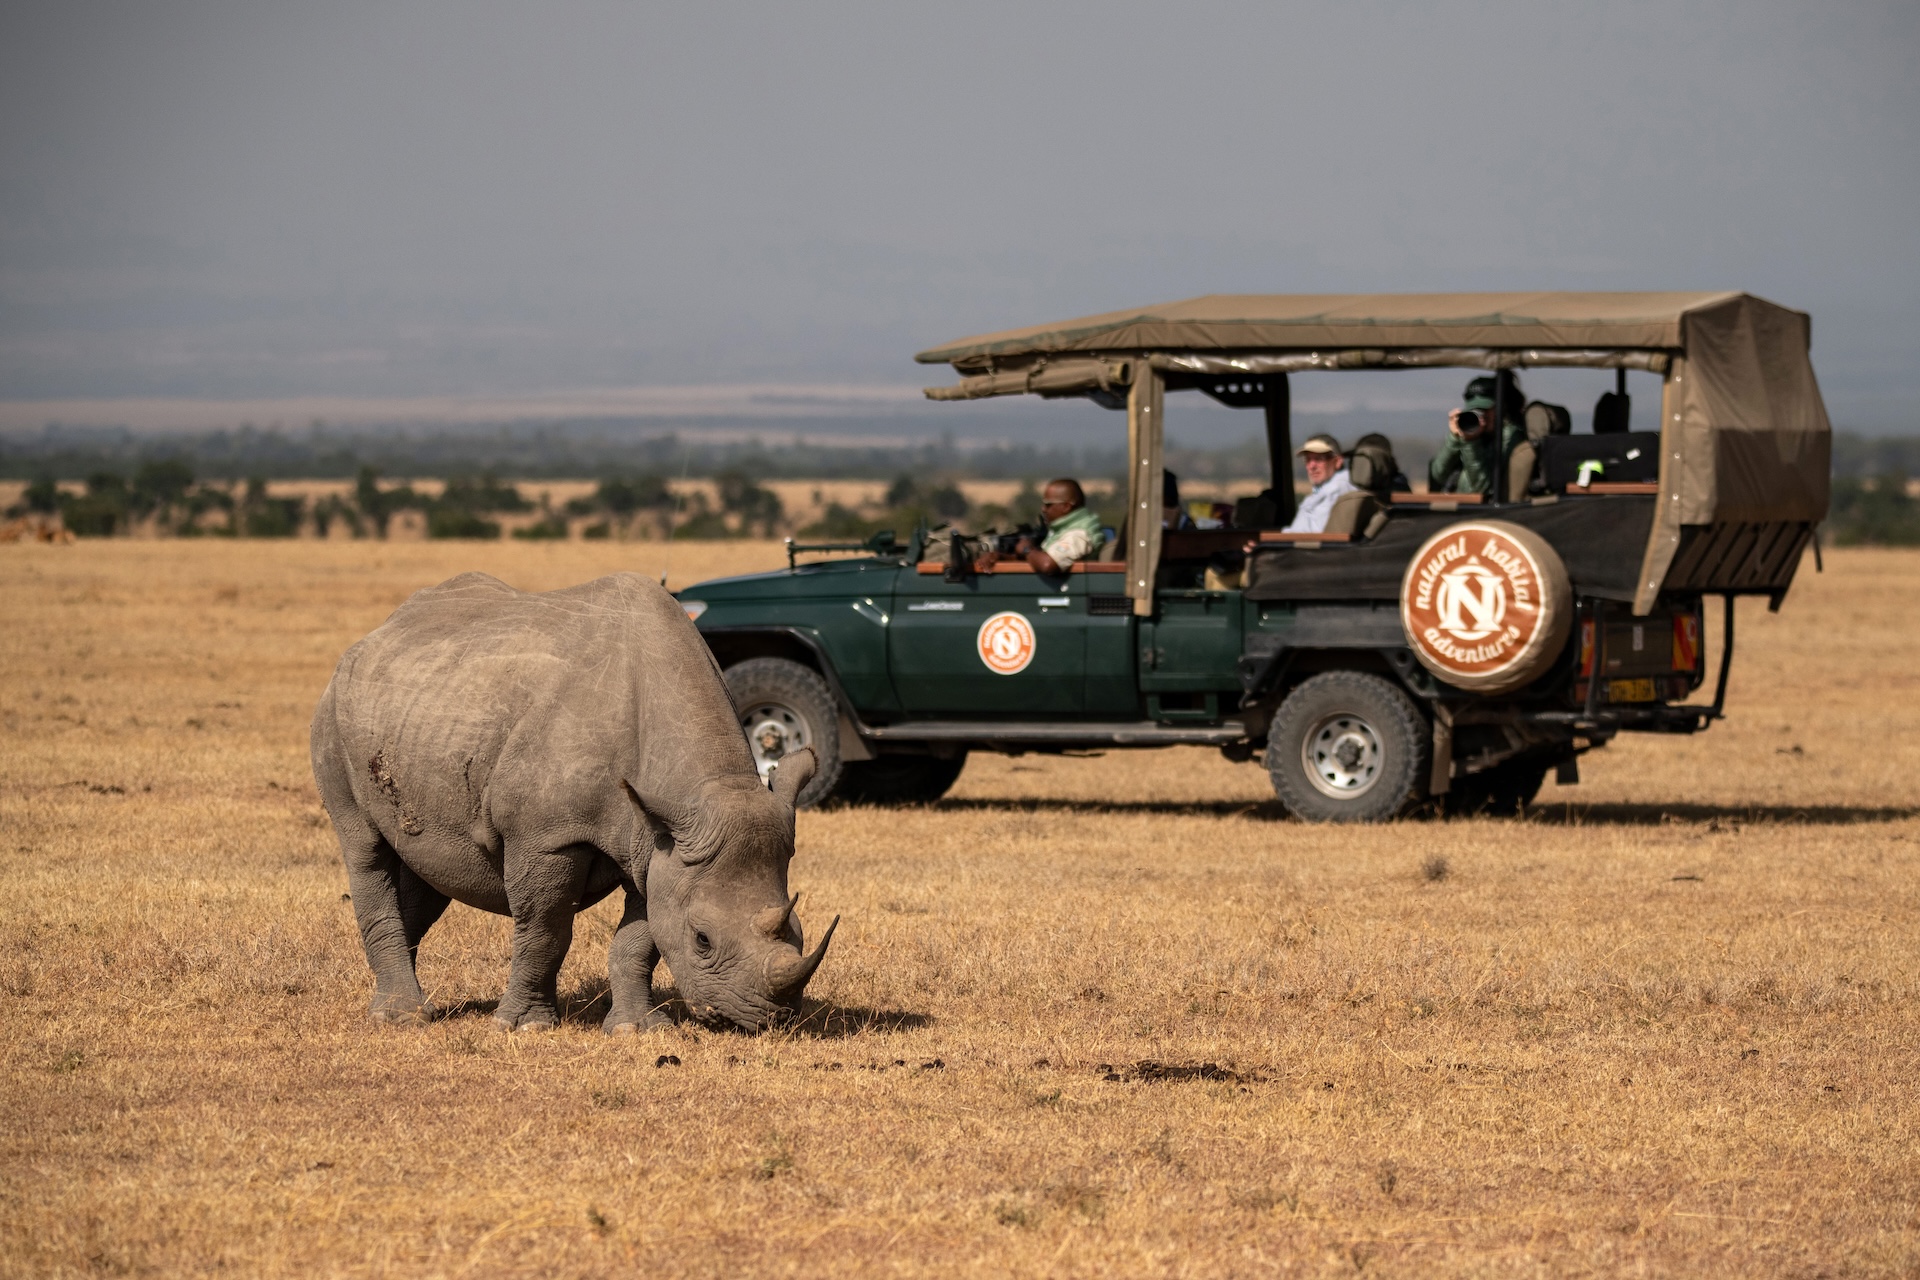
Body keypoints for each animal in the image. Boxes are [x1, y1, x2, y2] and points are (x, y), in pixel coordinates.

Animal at [309, 571, 836, 1033]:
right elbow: (546, 929)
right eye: (702, 940)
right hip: (333, 712)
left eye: (798, 931)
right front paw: (524, 1027)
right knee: (365, 848)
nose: (766, 1019)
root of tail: (374, 634)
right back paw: (401, 1017)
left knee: (427, 864)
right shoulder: (551, 837)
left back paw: (406, 1004)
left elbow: (640, 938)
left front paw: (636, 1029)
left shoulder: (656, 841)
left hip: (427, 704)